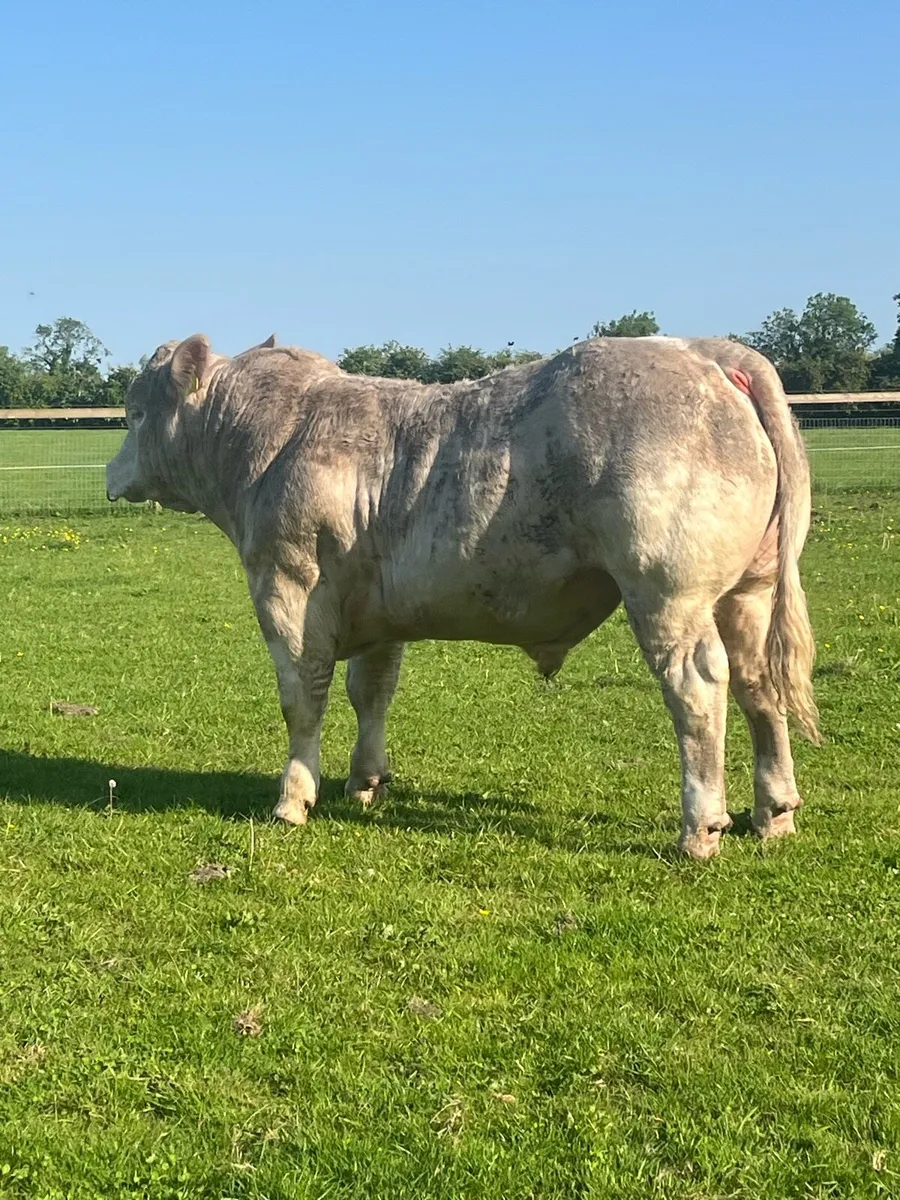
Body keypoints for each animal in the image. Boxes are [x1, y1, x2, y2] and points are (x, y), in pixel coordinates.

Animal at [106, 333, 820, 858]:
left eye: (135, 413)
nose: (111, 473)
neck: (268, 443)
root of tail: (711, 351)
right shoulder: (378, 608)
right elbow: (371, 692)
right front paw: (365, 781)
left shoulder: (287, 587)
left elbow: (302, 698)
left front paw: (293, 798)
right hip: (746, 593)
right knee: (759, 684)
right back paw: (773, 812)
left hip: (669, 594)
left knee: (700, 689)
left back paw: (700, 828)